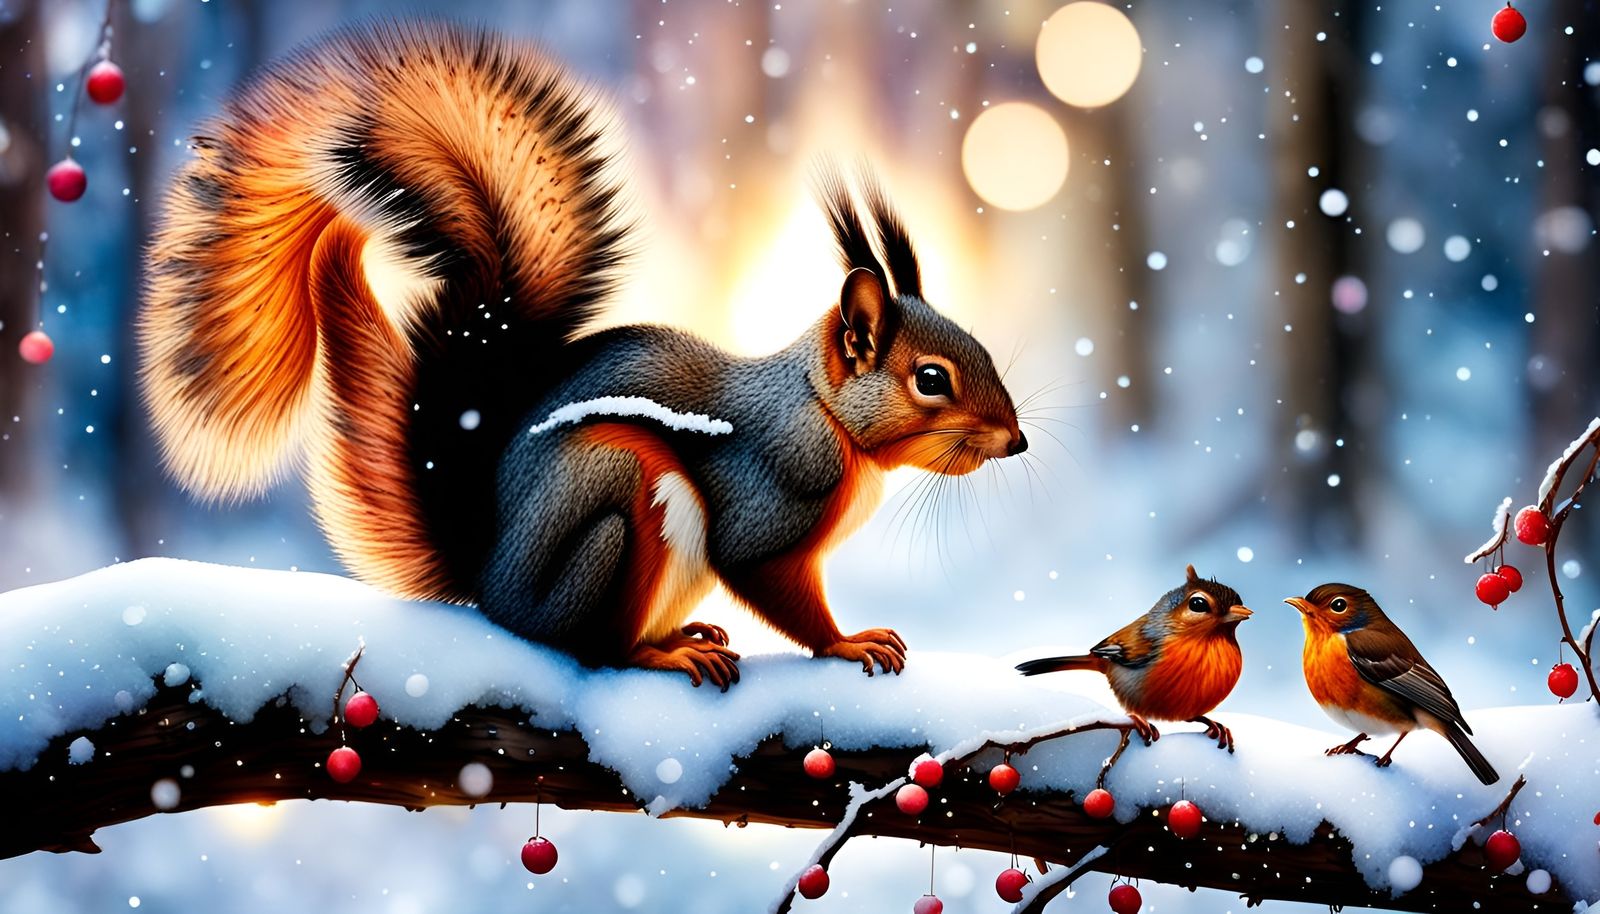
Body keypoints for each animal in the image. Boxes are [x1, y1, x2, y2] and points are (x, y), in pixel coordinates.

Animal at [138, 22, 1027, 689]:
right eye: (931, 379)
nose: (1017, 441)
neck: (826, 413)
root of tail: (489, 579)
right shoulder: (772, 493)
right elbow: (769, 577)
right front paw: (847, 643)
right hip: (616, 498)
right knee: (591, 648)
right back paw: (659, 653)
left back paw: (689, 631)